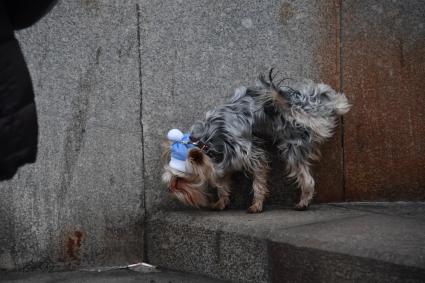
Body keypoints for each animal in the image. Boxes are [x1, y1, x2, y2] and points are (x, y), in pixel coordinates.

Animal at [161, 70, 348, 213]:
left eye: (179, 180)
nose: (169, 189)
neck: (207, 142)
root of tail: (298, 105)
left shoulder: (250, 155)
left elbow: (258, 182)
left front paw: (256, 205)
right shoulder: (224, 161)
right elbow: (222, 185)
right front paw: (221, 202)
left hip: (291, 143)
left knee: (307, 179)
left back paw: (303, 203)